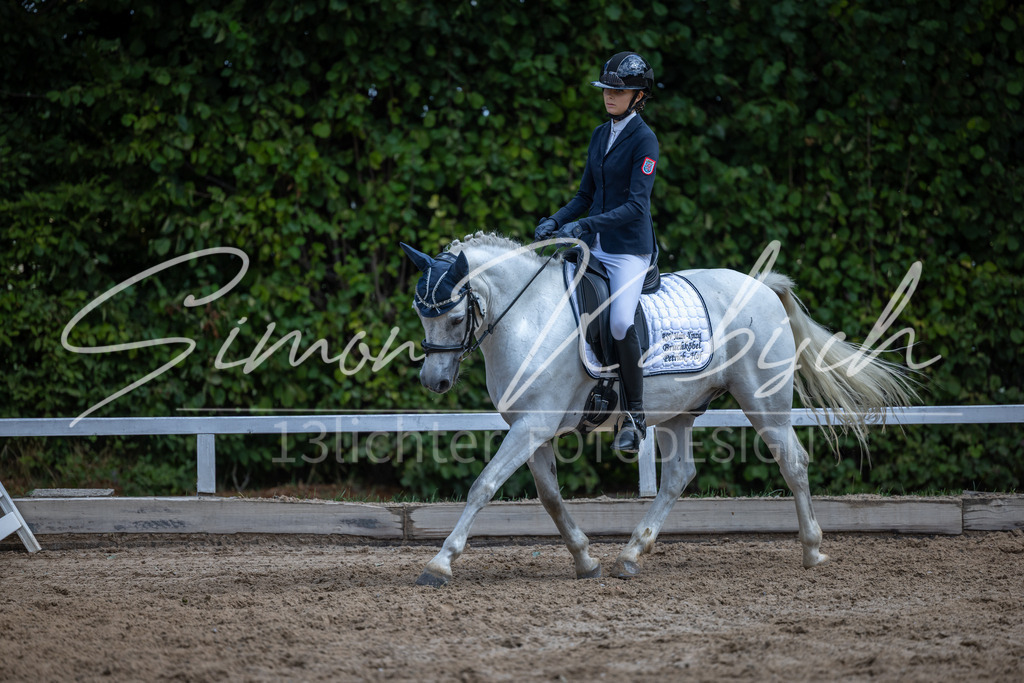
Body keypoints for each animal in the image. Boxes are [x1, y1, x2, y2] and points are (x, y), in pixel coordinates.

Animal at [400, 232, 915, 587]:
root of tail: (762, 286)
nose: (433, 381)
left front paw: (440, 562)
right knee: (679, 475)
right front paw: (585, 559)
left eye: (453, 316)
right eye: (420, 314)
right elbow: (550, 498)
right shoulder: (532, 427)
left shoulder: (533, 425)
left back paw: (812, 551)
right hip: (676, 412)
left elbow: (483, 485)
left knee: (793, 461)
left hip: (763, 401)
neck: (530, 316)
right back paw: (631, 553)